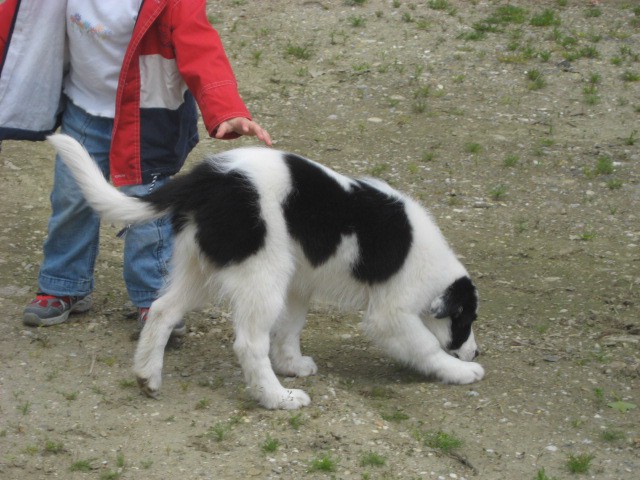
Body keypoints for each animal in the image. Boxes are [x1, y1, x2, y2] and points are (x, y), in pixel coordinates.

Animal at [47, 134, 482, 408]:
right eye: (466, 320)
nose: (477, 349)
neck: (429, 261)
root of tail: (207, 178)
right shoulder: (389, 314)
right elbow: (425, 346)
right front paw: (461, 370)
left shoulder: (297, 285)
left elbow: (289, 328)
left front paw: (291, 364)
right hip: (260, 274)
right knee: (248, 344)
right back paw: (276, 399)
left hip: (204, 267)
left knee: (161, 310)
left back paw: (148, 377)